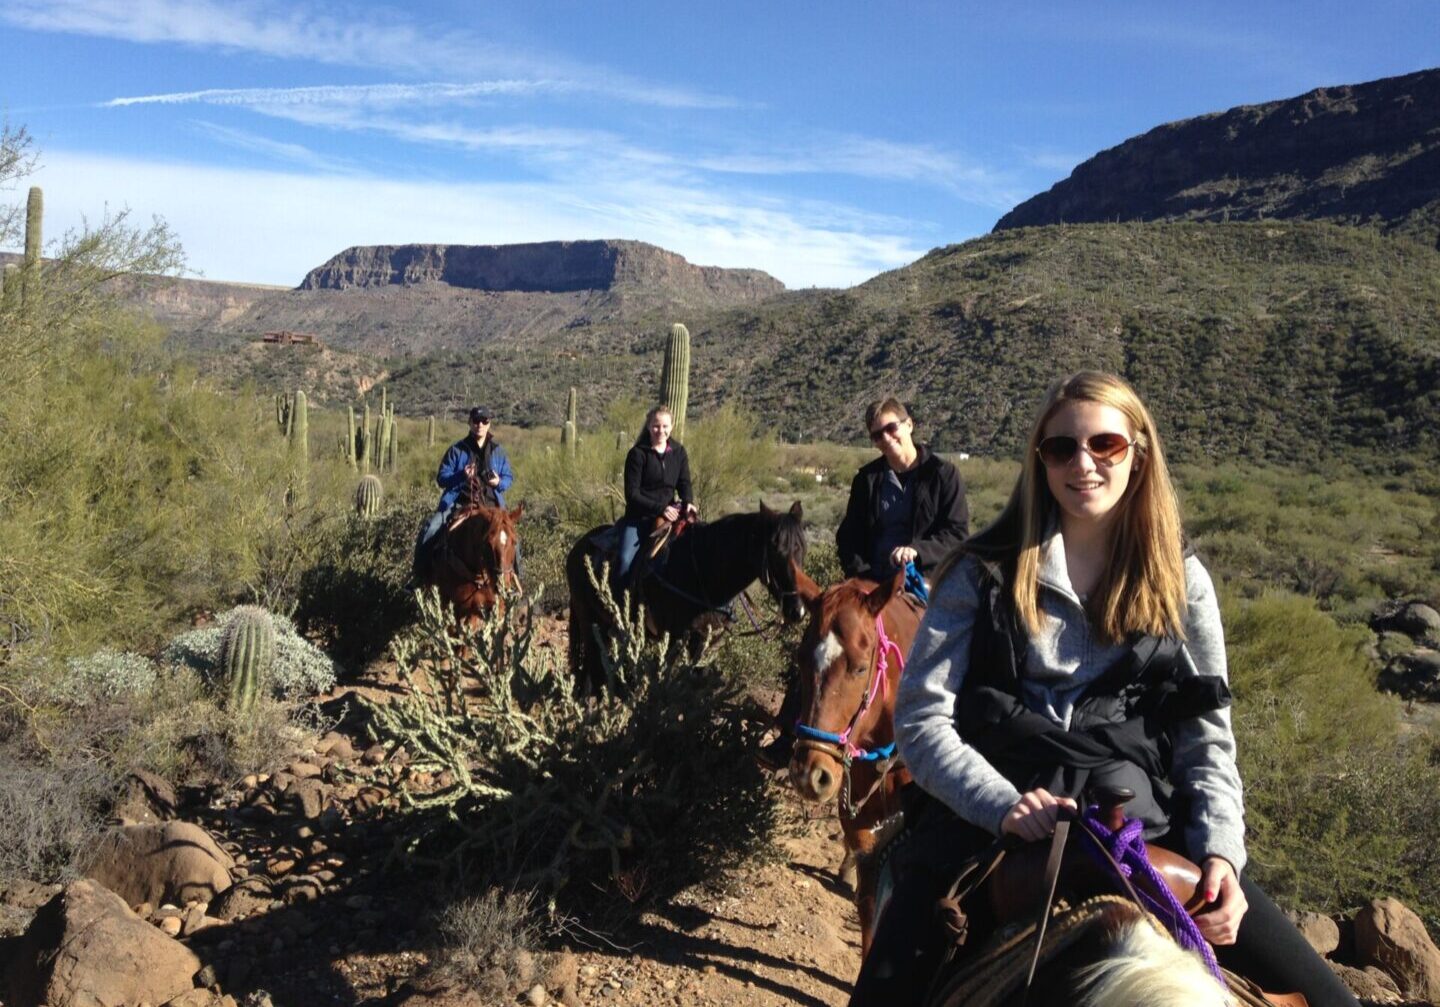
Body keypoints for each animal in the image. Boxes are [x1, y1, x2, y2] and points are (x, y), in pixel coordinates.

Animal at [564, 501, 812, 694]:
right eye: (775, 550)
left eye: (802, 549)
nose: (797, 611)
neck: (701, 569)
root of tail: (578, 546)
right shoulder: (675, 638)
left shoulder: (709, 642)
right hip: (588, 621)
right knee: (592, 667)